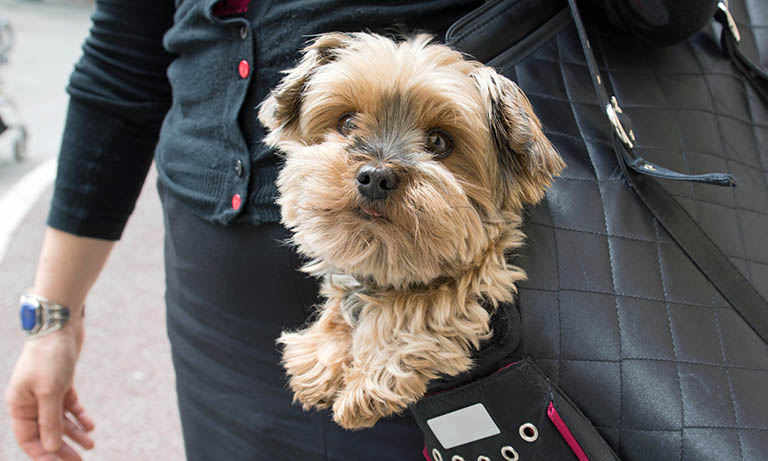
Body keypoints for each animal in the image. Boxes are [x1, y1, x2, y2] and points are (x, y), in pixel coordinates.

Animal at [258, 31, 564, 428]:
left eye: (439, 142)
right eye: (347, 124)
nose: (375, 176)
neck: (383, 253)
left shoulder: (489, 261)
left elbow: (426, 301)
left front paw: (368, 382)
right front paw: (322, 357)